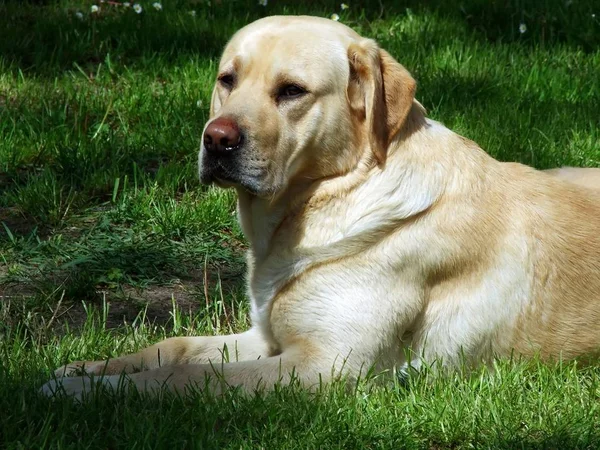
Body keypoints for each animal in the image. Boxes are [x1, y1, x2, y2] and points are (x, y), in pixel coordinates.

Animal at [44, 15, 600, 400]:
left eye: (292, 91)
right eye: (227, 80)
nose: (216, 139)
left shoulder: (323, 364)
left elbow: (184, 376)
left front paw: (83, 392)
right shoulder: (265, 336)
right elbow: (174, 348)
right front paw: (86, 369)